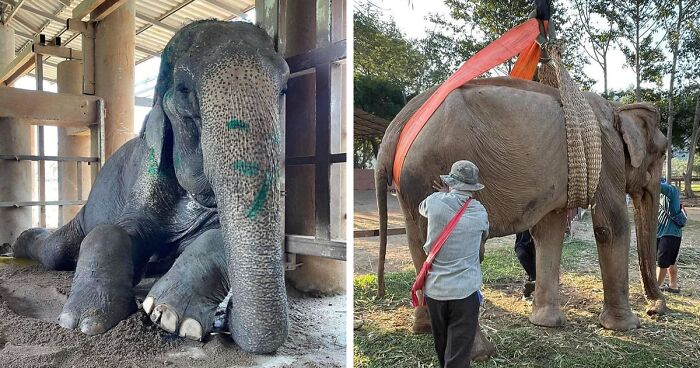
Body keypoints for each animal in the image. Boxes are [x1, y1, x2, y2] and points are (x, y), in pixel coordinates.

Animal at [8, 20, 288, 354]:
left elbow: (219, 235)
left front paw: (171, 317)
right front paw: (84, 323)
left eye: (284, 89)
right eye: (183, 89)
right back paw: (18, 245)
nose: (228, 321)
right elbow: (112, 231)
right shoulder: (145, 174)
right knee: (55, 251)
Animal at [378, 76, 668, 360]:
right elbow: (611, 227)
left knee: (417, 243)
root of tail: (396, 127)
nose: (656, 310)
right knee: (462, 251)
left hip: (409, 187)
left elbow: (549, 230)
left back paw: (424, 329)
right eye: (663, 153)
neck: (618, 108)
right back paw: (482, 353)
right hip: (432, 169)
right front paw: (626, 327)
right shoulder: (607, 156)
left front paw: (547, 323)